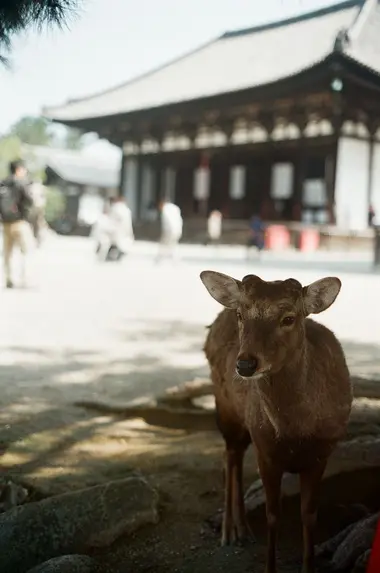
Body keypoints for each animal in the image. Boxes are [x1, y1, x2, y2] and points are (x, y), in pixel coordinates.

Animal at [200, 270, 352, 572]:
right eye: (241, 314)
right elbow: (273, 516)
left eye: (289, 318)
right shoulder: (266, 451)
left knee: (233, 454)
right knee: (229, 455)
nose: (245, 364)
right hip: (226, 407)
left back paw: (243, 530)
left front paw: (308, 565)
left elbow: (309, 515)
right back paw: (229, 531)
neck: (295, 433)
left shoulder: (322, 453)